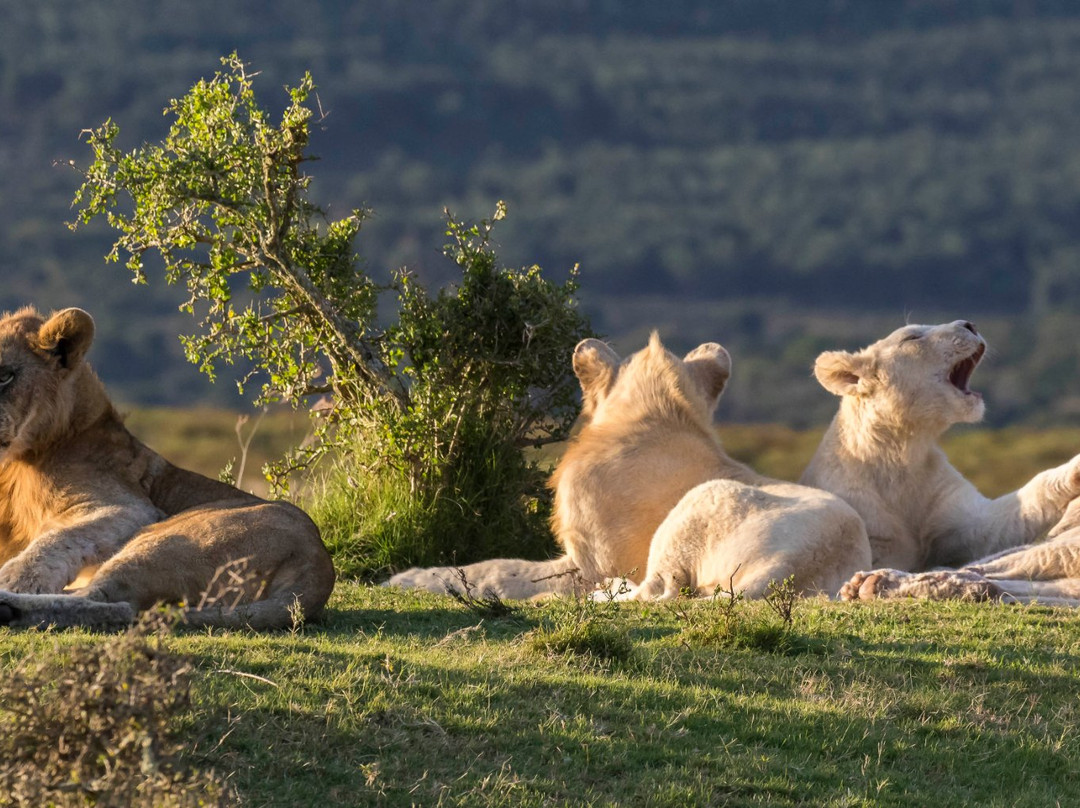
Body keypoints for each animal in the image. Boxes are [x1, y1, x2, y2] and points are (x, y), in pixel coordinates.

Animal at [0, 306, 334, 626]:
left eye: (5, 376)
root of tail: (318, 567)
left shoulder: (130, 507)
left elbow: (54, 540)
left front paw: (15, 579)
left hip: (165, 542)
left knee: (112, 603)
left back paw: (8, 607)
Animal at [388, 332, 868, 600]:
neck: (657, 416)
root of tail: (790, 567)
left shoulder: (589, 563)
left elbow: (497, 569)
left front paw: (407, 579)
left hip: (694, 510)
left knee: (654, 591)